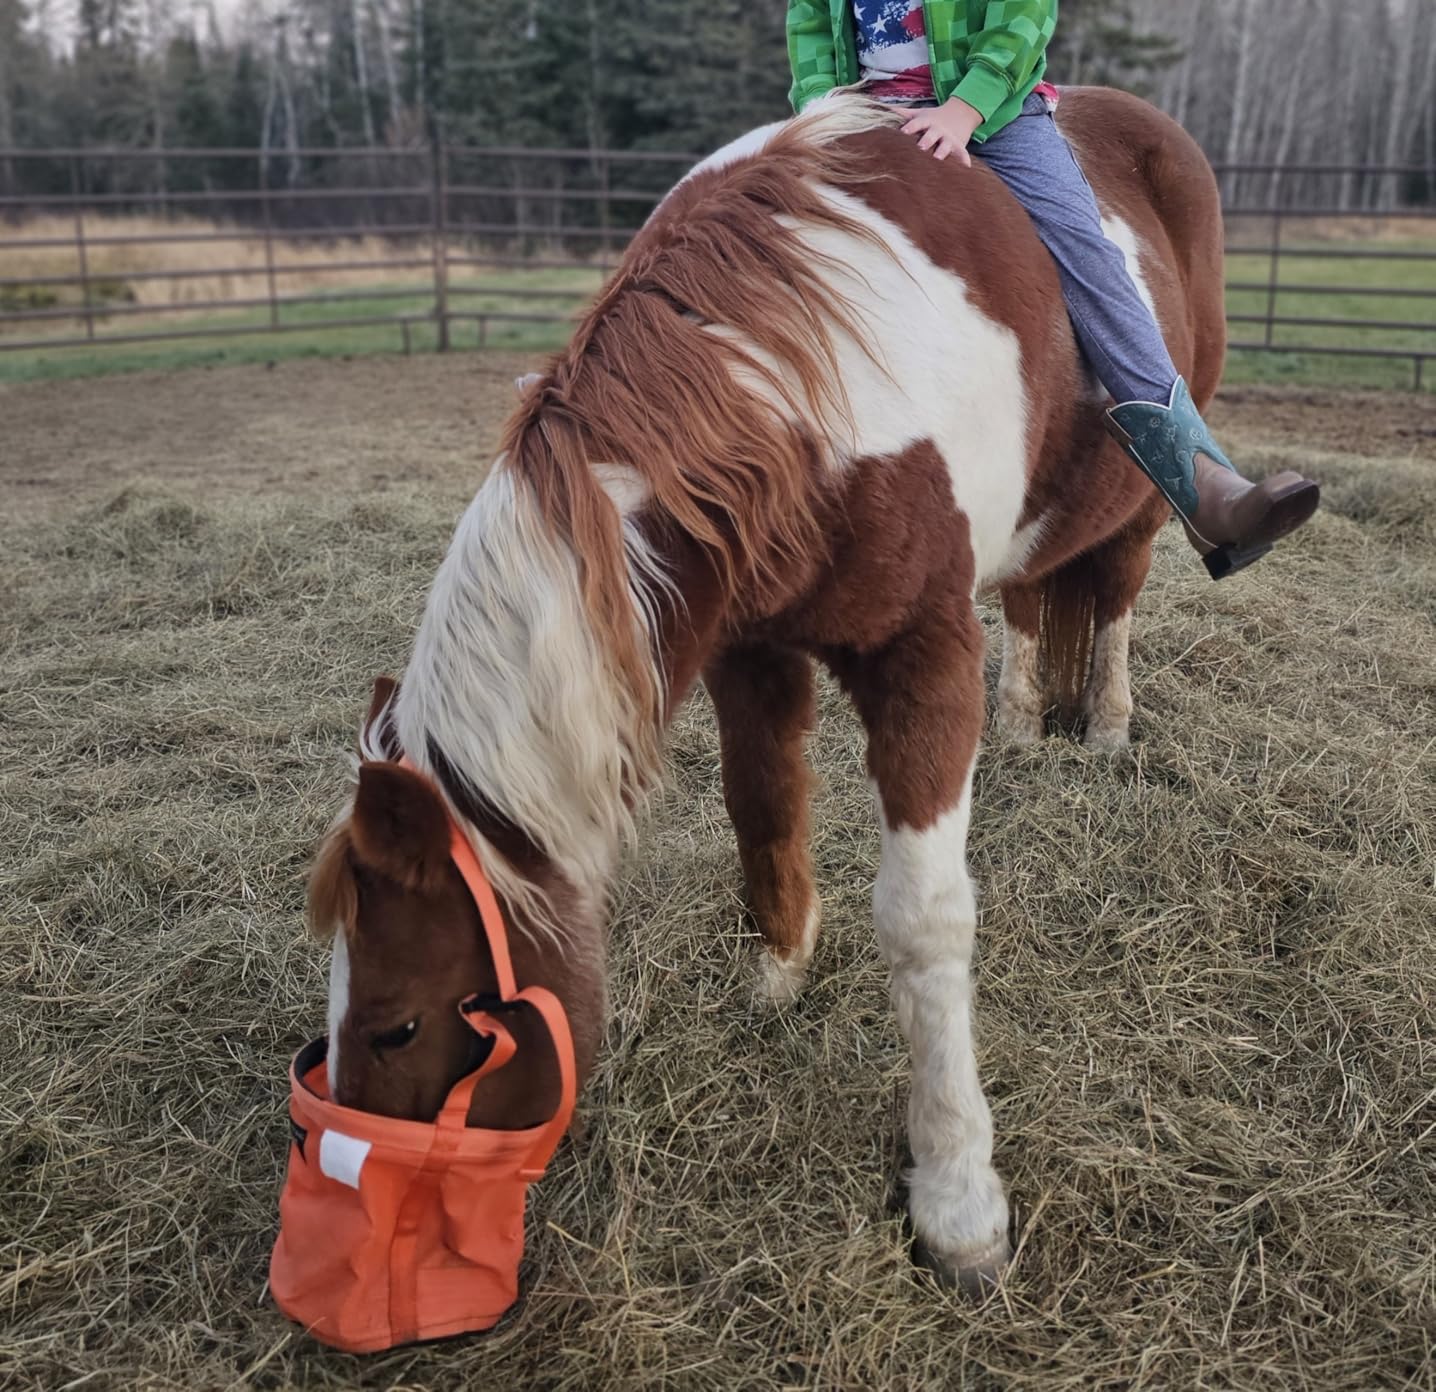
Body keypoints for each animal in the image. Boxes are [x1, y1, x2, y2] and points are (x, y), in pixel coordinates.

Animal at [306, 86, 1227, 1292]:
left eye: (398, 1026)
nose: (366, 1233)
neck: (791, 380)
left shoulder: (923, 659)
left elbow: (925, 921)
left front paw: (957, 1201)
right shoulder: (743, 648)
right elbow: (763, 811)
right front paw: (781, 974)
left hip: (1144, 498)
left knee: (1113, 596)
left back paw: (1109, 728)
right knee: (1035, 598)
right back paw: (1031, 724)